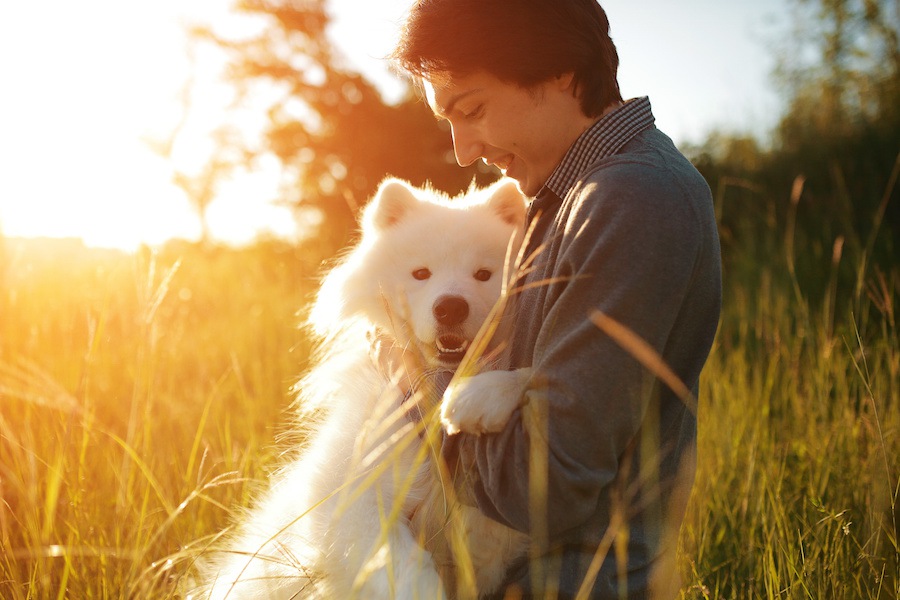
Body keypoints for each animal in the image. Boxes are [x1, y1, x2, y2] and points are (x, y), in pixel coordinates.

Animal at [198, 179, 532, 600]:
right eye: (421, 273)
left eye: (484, 274)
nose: (451, 307)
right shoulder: (353, 497)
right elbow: (405, 570)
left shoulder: (488, 530)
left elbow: (536, 374)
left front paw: (482, 395)